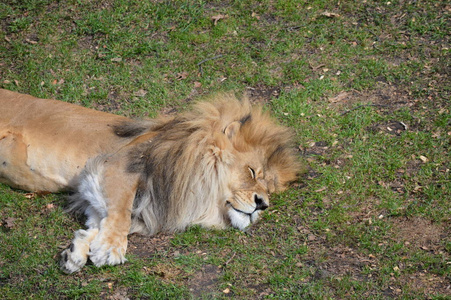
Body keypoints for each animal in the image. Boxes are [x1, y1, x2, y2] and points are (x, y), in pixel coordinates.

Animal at [1, 88, 304, 274]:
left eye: (269, 188)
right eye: (252, 172)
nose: (263, 204)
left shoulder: (97, 190)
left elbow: (101, 221)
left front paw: (77, 251)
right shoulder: (115, 165)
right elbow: (121, 214)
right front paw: (110, 250)